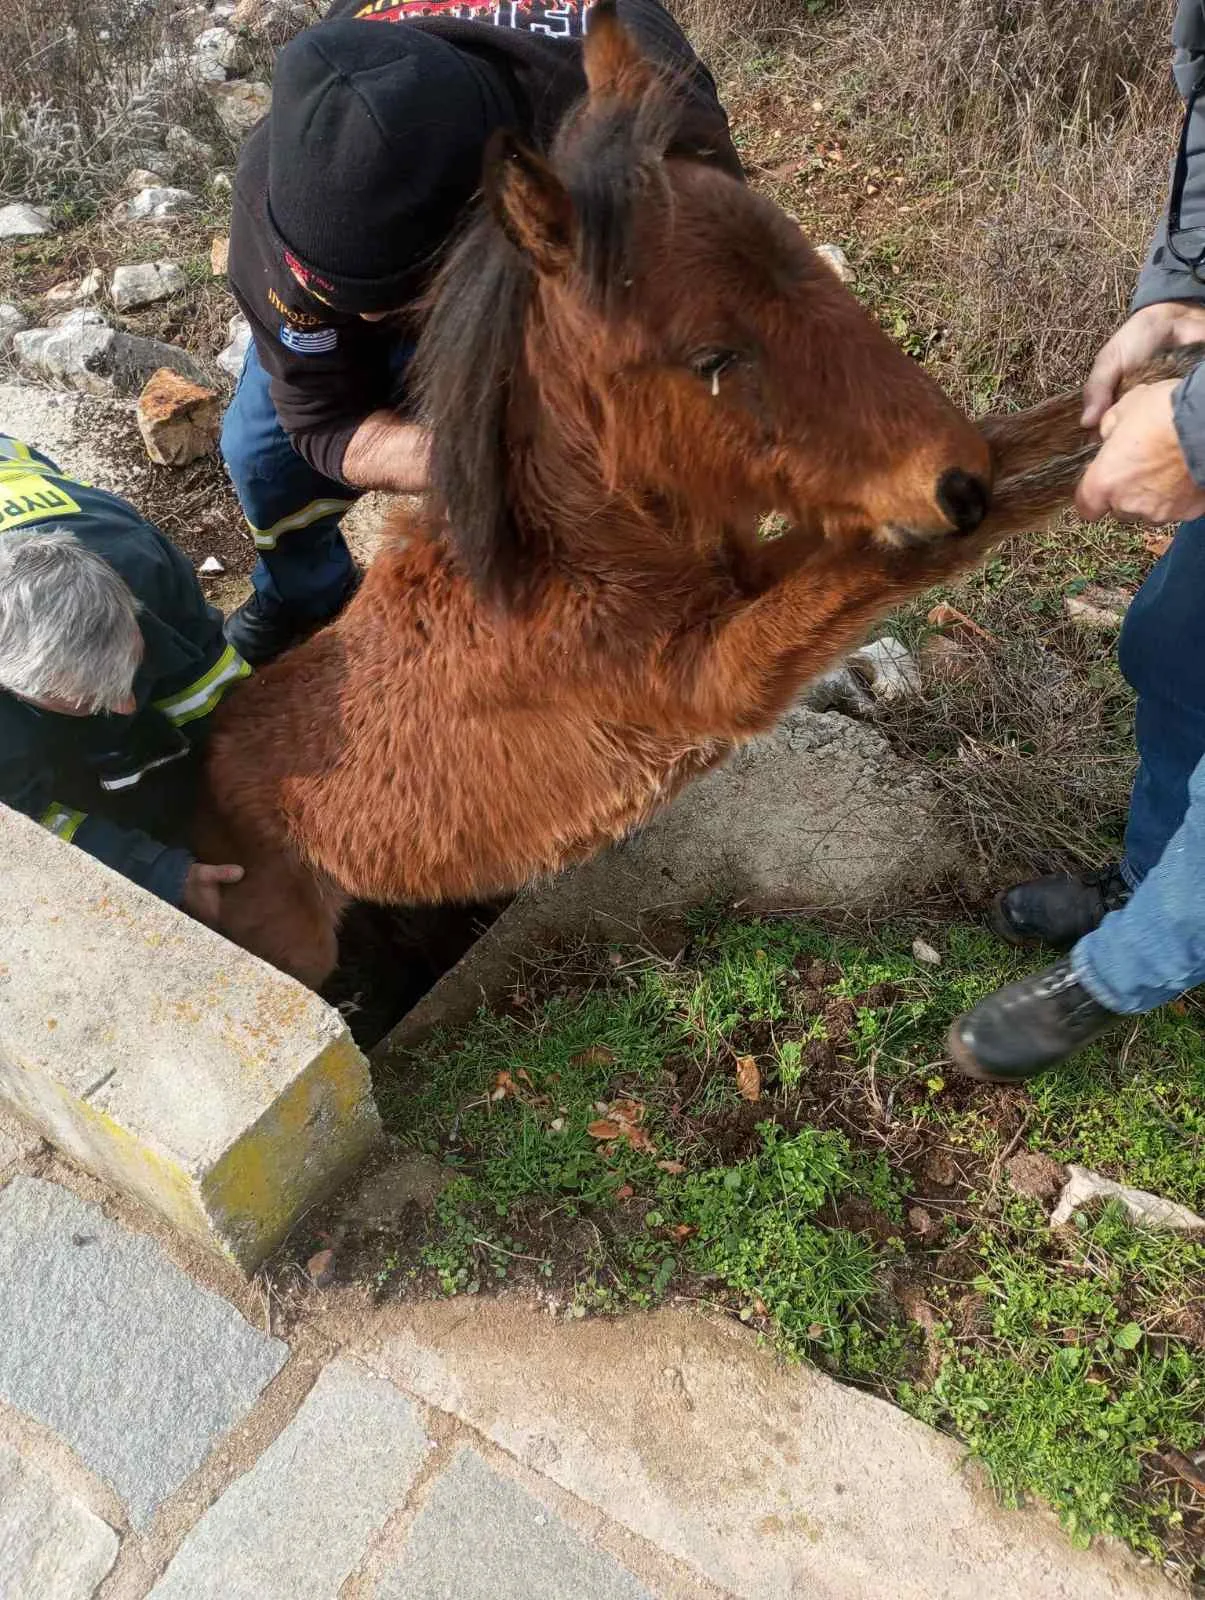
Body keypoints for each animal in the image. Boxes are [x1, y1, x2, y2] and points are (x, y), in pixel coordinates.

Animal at [195, 3, 1177, 985]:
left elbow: (997, 453)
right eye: (711, 358)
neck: (571, 565)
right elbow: (889, 563)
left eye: (809, 265)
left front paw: (1144, 392)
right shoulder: (715, 684)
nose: (954, 478)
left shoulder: (749, 576)